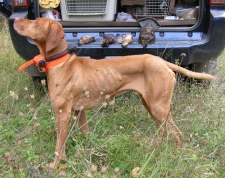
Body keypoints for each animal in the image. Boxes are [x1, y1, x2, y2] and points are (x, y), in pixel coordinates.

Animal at [13, 17, 214, 169]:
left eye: (36, 22)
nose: (15, 19)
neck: (61, 62)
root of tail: (161, 62)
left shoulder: (63, 113)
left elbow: (58, 146)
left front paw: (55, 166)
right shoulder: (79, 111)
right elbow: (85, 134)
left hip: (159, 108)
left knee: (177, 135)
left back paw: (173, 156)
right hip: (151, 106)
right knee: (162, 133)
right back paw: (154, 150)